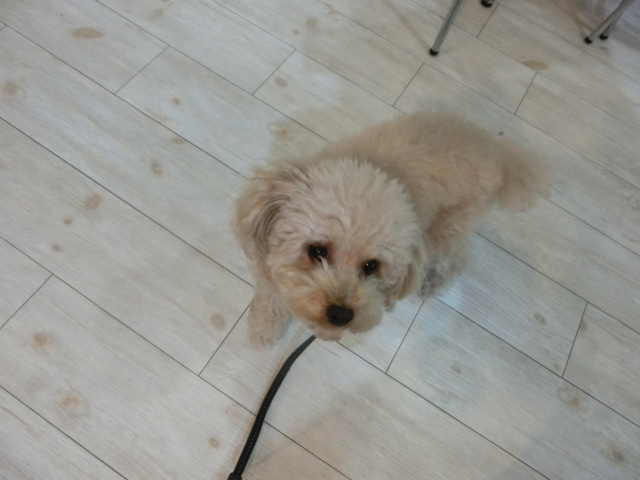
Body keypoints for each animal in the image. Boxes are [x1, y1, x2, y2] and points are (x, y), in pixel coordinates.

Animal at [233, 112, 549, 344]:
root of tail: (496, 152)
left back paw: (432, 283)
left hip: (448, 225)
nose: (341, 314)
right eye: (317, 251)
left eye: (371, 266)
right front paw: (264, 328)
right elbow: (270, 297)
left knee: (457, 258)